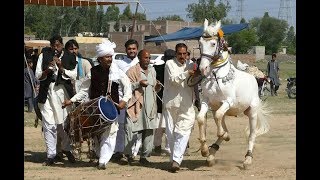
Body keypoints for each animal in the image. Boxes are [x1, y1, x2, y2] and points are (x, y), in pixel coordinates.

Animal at [195, 19, 270, 169]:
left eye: (213, 43)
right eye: (200, 43)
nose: (202, 68)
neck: (216, 76)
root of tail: (254, 77)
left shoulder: (228, 102)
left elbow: (219, 120)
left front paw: (222, 136)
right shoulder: (206, 102)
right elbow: (200, 118)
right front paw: (205, 150)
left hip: (252, 112)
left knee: (252, 135)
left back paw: (247, 159)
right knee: (221, 122)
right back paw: (211, 154)